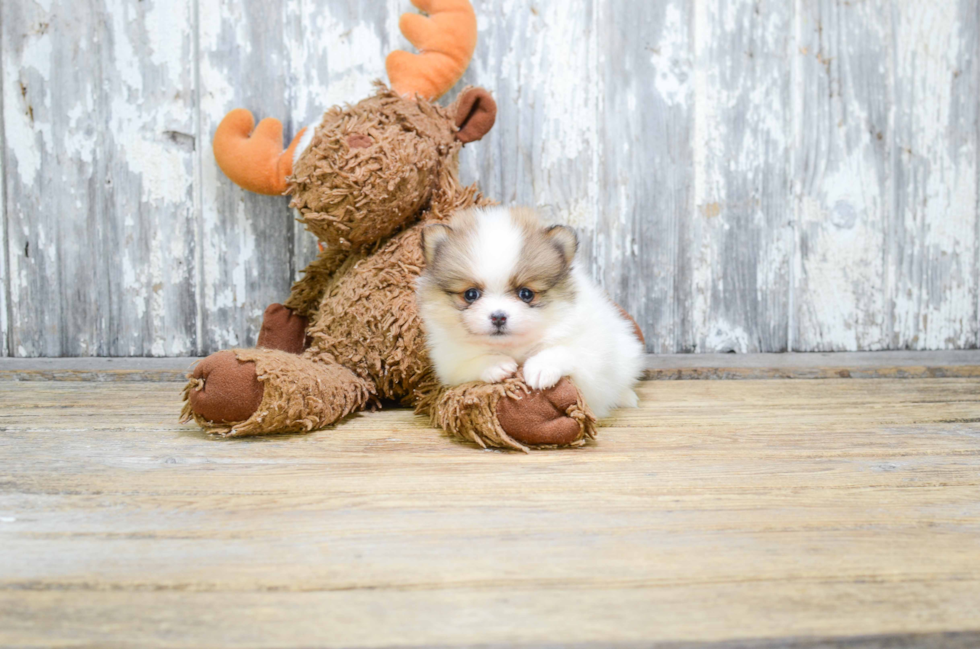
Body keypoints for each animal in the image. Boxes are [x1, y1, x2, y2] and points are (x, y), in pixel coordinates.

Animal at [418, 208, 648, 420]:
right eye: (471, 294)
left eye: (526, 294)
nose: (498, 316)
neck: (514, 347)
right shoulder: (449, 363)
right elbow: (469, 364)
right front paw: (495, 364)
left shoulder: (590, 353)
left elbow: (565, 351)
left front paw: (541, 368)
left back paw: (626, 397)